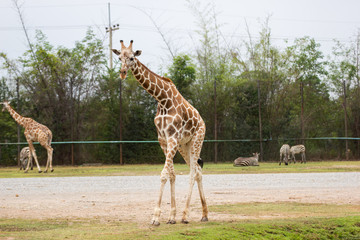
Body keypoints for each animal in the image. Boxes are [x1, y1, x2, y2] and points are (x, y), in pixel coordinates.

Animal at [112, 40, 208, 226]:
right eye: (120, 58)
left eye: (132, 57)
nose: (123, 73)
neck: (162, 99)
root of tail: (202, 121)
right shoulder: (163, 139)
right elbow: (171, 174)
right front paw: (171, 216)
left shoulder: (172, 138)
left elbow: (164, 175)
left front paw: (156, 217)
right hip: (184, 145)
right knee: (198, 171)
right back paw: (204, 214)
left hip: (196, 141)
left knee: (193, 173)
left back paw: (186, 216)